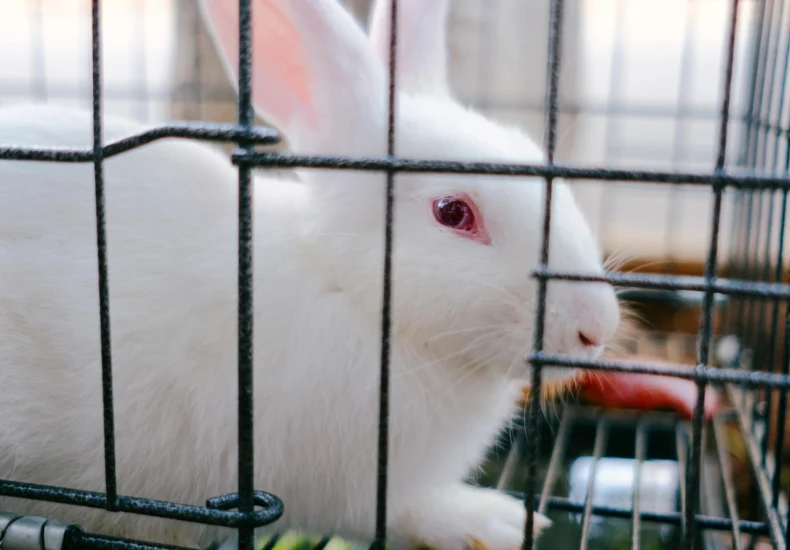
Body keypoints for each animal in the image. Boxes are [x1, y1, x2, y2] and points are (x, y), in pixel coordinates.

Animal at [0, 0, 620, 549]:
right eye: (452, 212)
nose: (596, 329)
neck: (346, 289)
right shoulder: (353, 489)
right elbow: (402, 514)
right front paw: (495, 522)